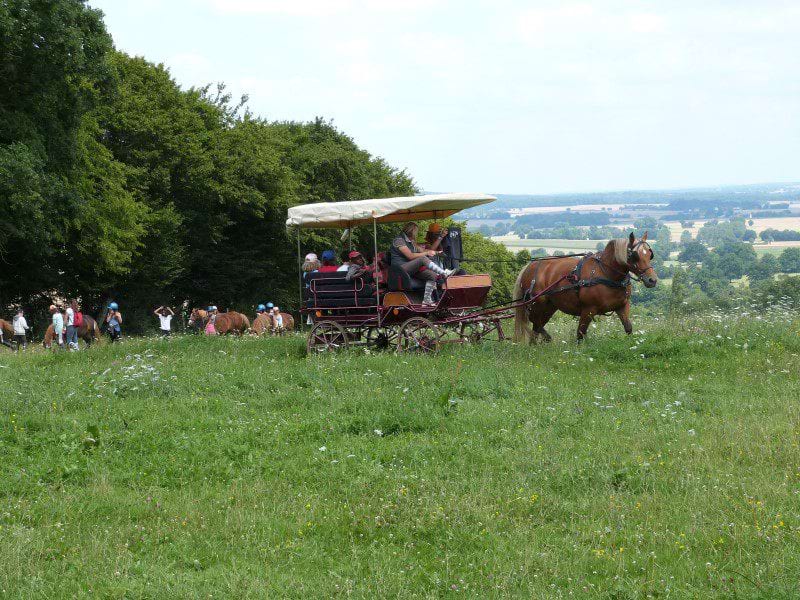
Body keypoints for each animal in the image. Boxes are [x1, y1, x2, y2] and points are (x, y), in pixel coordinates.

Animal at [516, 233, 660, 342]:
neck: (607, 274)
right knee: (535, 321)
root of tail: (529, 267)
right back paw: (546, 339)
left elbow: (628, 327)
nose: (652, 280)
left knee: (537, 325)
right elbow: (580, 333)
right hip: (537, 303)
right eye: (635, 255)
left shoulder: (622, 306)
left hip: (549, 307)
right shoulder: (588, 310)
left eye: (649, 254)